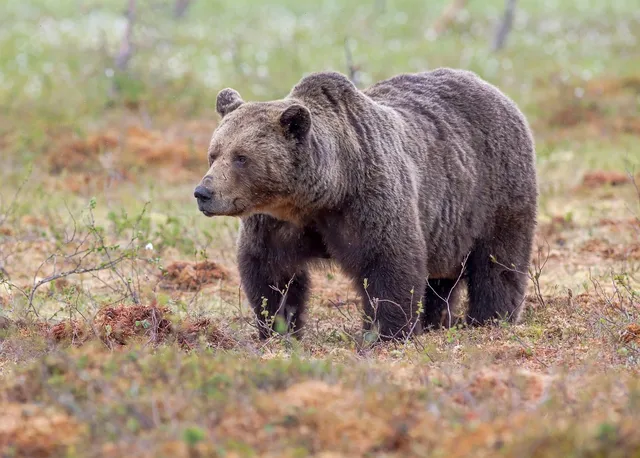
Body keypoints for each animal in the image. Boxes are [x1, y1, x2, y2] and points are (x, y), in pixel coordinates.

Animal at [194, 68, 538, 342]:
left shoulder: (367, 201)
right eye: (214, 153)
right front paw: (278, 328)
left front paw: (387, 332)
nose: (203, 192)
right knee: (440, 280)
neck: (321, 195)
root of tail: (491, 88)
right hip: (447, 225)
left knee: (498, 262)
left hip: (496, 188)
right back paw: (434, 321)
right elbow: (271, 272)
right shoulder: (277, 223)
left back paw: (490, 319)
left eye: (241, 157)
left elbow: (389, 263)